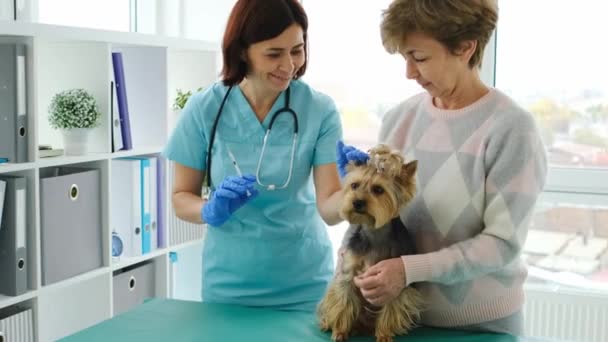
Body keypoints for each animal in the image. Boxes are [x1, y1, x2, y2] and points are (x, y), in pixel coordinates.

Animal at [318, 144, 422, 342]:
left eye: (378, 189)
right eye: (354, 185)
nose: (357, 202)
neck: (373, 232)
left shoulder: (392, 281)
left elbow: (390, 307)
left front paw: (384, 335)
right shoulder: (348, 273)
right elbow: (343, 302)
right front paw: (340, 331)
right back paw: (328, 323)